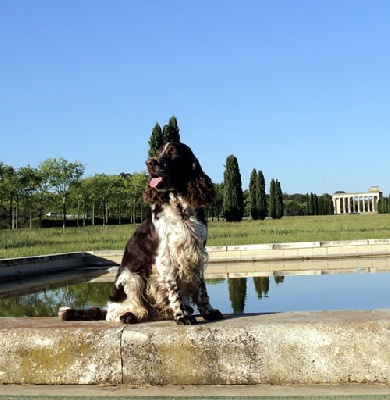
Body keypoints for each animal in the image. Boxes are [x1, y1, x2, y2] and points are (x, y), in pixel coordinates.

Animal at [59, 141, 221, 324]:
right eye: (157, 152)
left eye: (172, 152)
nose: (149, 162)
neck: (181, 210)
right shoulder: (166, 256)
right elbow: (174, 289)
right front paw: (182, 315)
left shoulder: (197, 252)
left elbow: (201, 289)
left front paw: (209, 311)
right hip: (132, 277)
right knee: (113, 314)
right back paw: (128, 315)